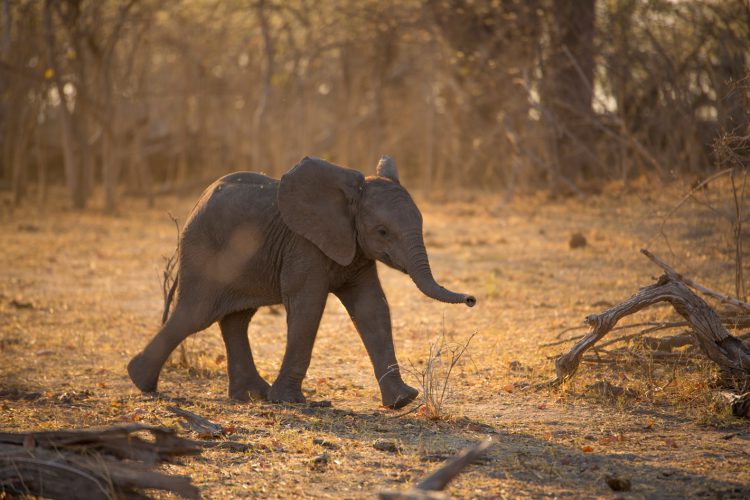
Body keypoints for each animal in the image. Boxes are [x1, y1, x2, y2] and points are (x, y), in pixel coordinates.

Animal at [126, 156, 472, 410]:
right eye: (383, 231)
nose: (471, 300)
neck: (348, 197)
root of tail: (198, 202)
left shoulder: (354, 248)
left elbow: (372, 308)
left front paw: (403, 401)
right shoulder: (304, 246)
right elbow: (308, 305)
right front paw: (289, 401)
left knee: (236, 319)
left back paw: (251, 395)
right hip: (204, 250)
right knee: (196, 314)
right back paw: (141, 381)